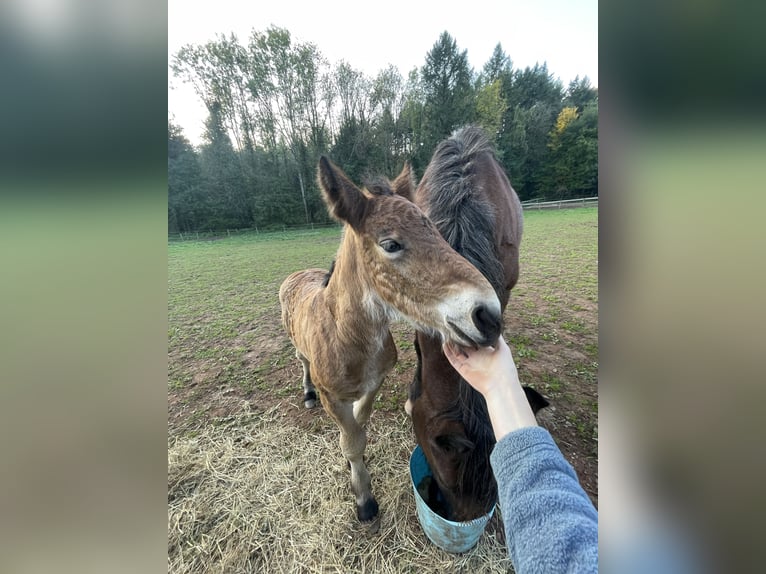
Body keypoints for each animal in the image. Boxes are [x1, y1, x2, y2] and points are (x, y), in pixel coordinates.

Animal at [279, 156, 505, 523]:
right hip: (298, 349)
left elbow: (359, 424)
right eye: (390, 244)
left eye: (436, 233)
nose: (488, 316)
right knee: (302, 363)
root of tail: (297, 274)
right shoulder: (332, 397)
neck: (348, 339)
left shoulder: (376, 381)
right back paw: (307, 393)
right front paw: (364, 500)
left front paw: (354, 464)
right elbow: (352, 439)